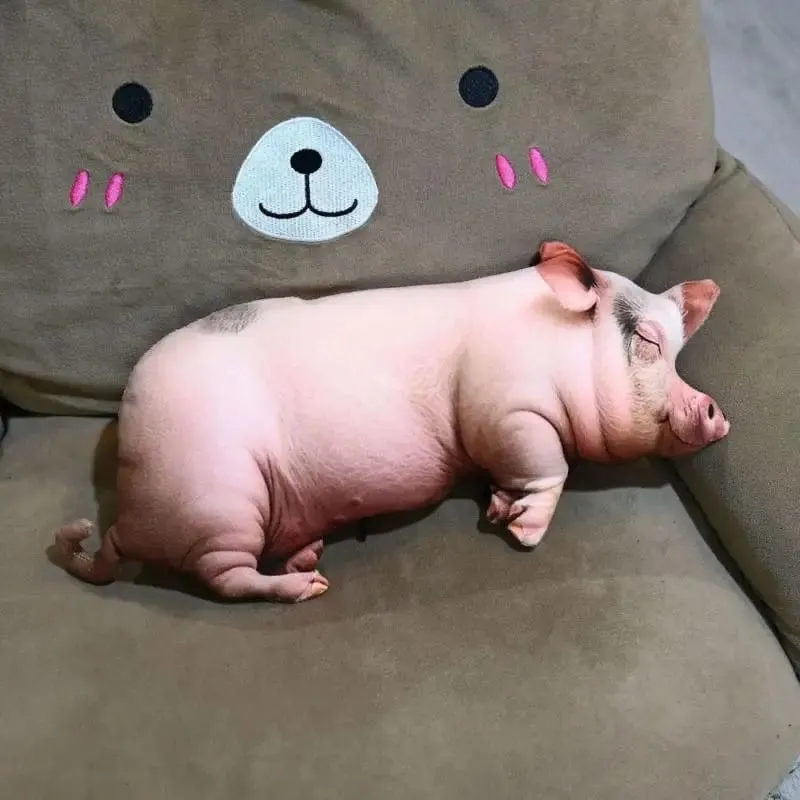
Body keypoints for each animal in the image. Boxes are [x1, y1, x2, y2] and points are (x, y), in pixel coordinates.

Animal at [53, 240, 729, 603]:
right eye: (648, 342)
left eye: (679, 350)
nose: (716, 411)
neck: (558, 348)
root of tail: (126, 517)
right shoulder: (506, 409)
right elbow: (548, 465)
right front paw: (523, 533)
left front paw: (496, 510)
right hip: (218, 499)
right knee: (227, 578)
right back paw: (310, 588)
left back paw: (307, 555)